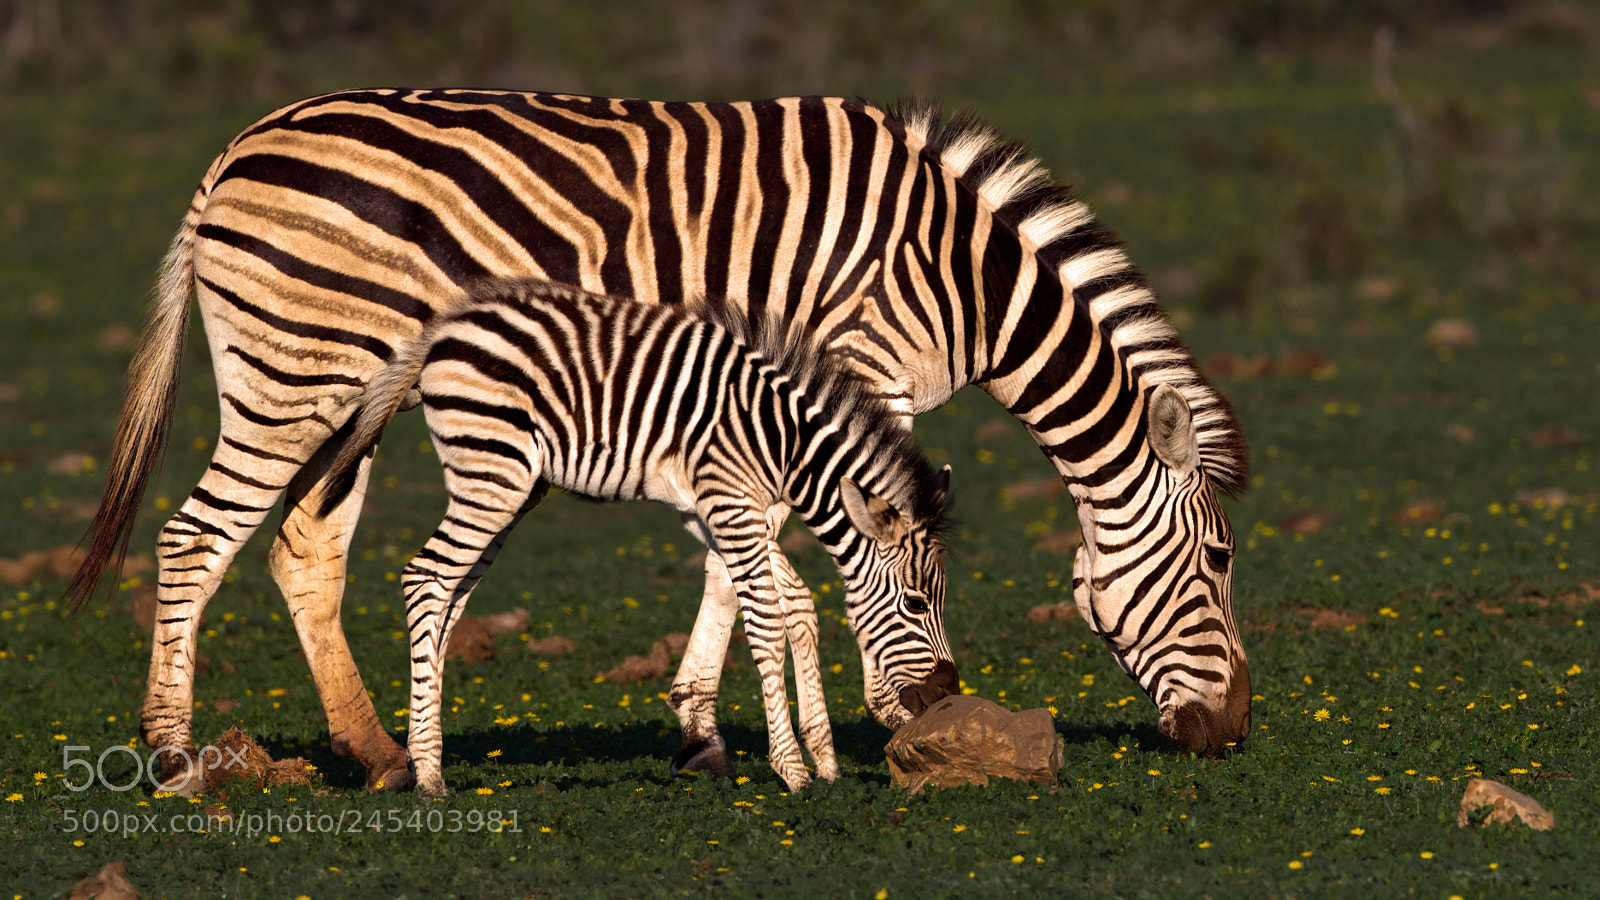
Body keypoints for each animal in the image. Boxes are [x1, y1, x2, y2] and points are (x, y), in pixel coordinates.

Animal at [315, 276, 956, 795]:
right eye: (914, 603)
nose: (948, 691)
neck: (780, 443)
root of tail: (445, 327)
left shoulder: (714, 512)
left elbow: (795, 605)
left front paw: (822, 761)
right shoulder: (731, 505)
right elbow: (767, 621)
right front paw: (793, 770)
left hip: (501, 482)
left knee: (448, 596)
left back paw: (428, 751)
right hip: (493, 471)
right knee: (425, 578)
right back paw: (429, 776)